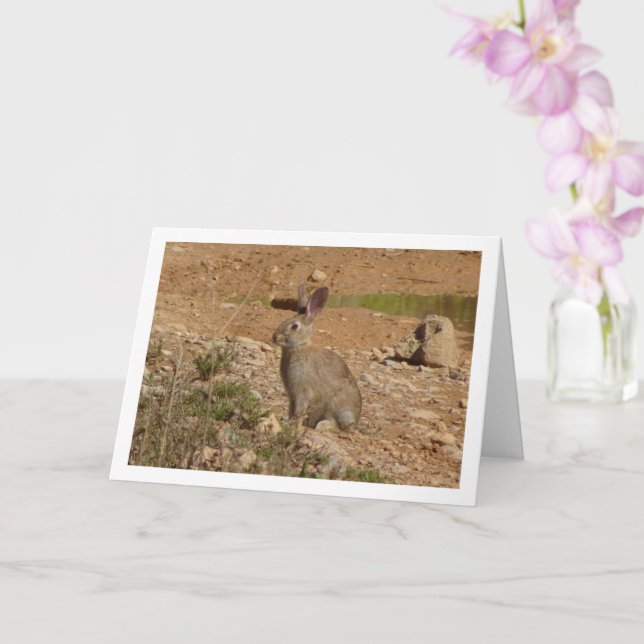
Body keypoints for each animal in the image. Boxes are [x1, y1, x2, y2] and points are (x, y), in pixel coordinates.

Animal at [272, 284, 362, 431]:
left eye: (294, 326)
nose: (274, 337)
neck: (299, 347)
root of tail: (356, 420)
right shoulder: (292, 394)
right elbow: (291, 408)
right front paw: (289, 421)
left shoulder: (303, 391)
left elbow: (300, 409)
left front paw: (294, 424)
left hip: (339, 408)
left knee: (338, 427)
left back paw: (322, 425)